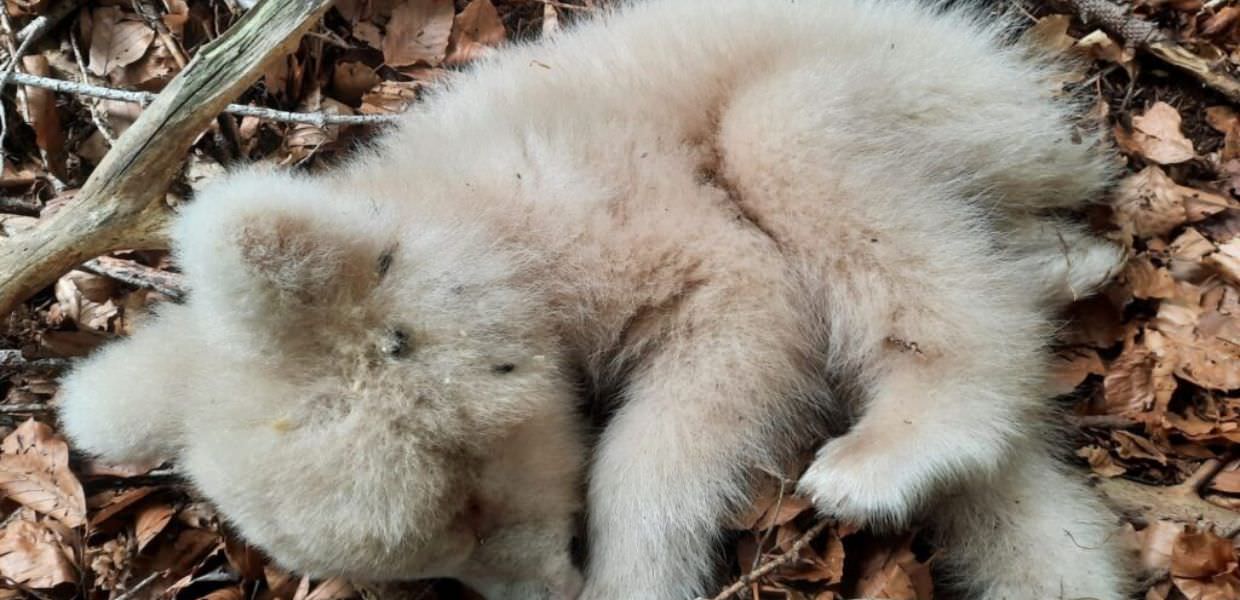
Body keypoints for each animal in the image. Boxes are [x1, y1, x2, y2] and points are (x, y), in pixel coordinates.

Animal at [58, 0, 1132, 598]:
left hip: (938, 92)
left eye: (471, 504)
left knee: (796, 136)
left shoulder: (622, 218)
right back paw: (1065, 274)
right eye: (427, 563)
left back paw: (894, 452)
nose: (544, 592)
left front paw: (632, 574)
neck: (477, 217)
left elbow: (737, 333)